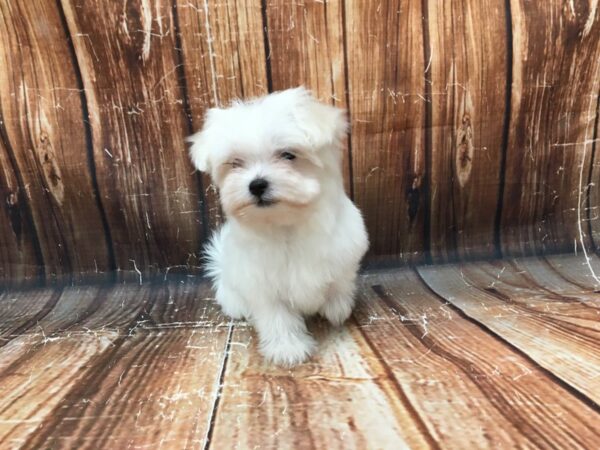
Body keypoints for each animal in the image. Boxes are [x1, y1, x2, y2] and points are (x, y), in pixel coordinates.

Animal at [189, 87, 366, 366]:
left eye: (288, 155)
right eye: (235, 163)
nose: (257, 185)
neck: (286, 223)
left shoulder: (344, 251)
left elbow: (340, 281)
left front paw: (337, 307)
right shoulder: (261, 283)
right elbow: (277, 317)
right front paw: (288, 348)